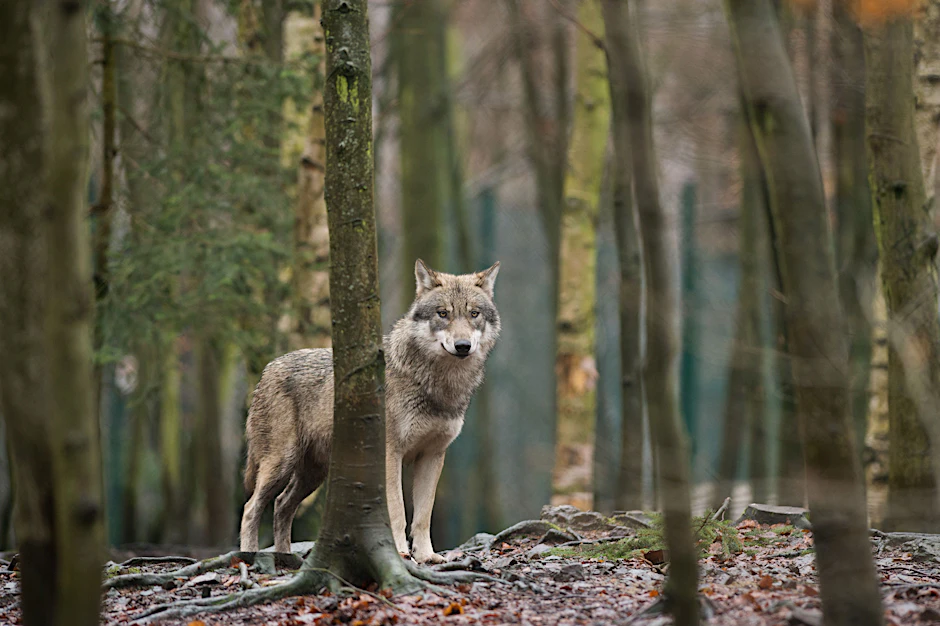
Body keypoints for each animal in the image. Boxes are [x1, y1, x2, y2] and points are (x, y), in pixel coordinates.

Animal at [239, 259, 500, 563]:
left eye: (474, 314)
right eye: (443, 313)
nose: (462, 346)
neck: (437, 385)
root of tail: (268, 369)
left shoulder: (433, 456)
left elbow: (423, 515)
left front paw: (427, 556)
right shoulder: (390, 454)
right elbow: (397, 511)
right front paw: (400, 552)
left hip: (313, 474)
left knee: (281, 505)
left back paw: (285, 558)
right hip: (281, 464)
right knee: (251, 508)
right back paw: (249, 555)